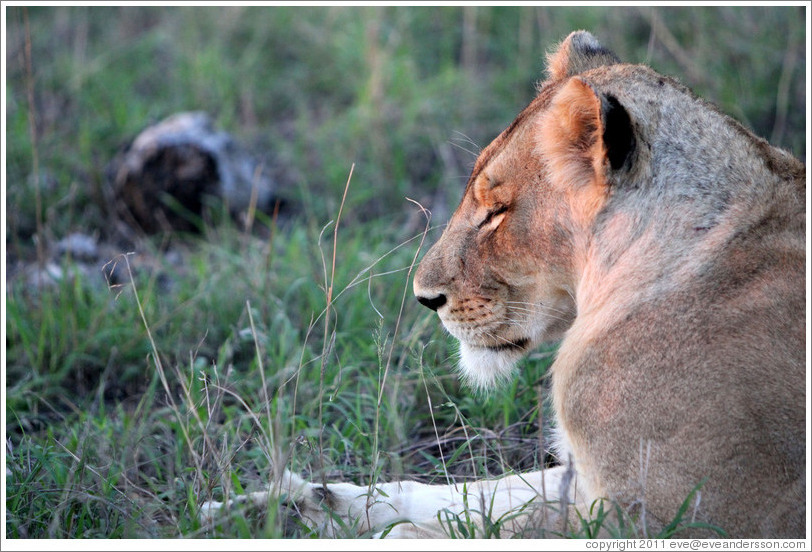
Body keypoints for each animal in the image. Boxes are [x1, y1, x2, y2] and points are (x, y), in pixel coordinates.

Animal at [201, 31, 806, 539]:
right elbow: (460, 498)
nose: (423, 299)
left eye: (496, 211)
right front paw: (270, 506)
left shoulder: (674, 515)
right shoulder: (584, 483)